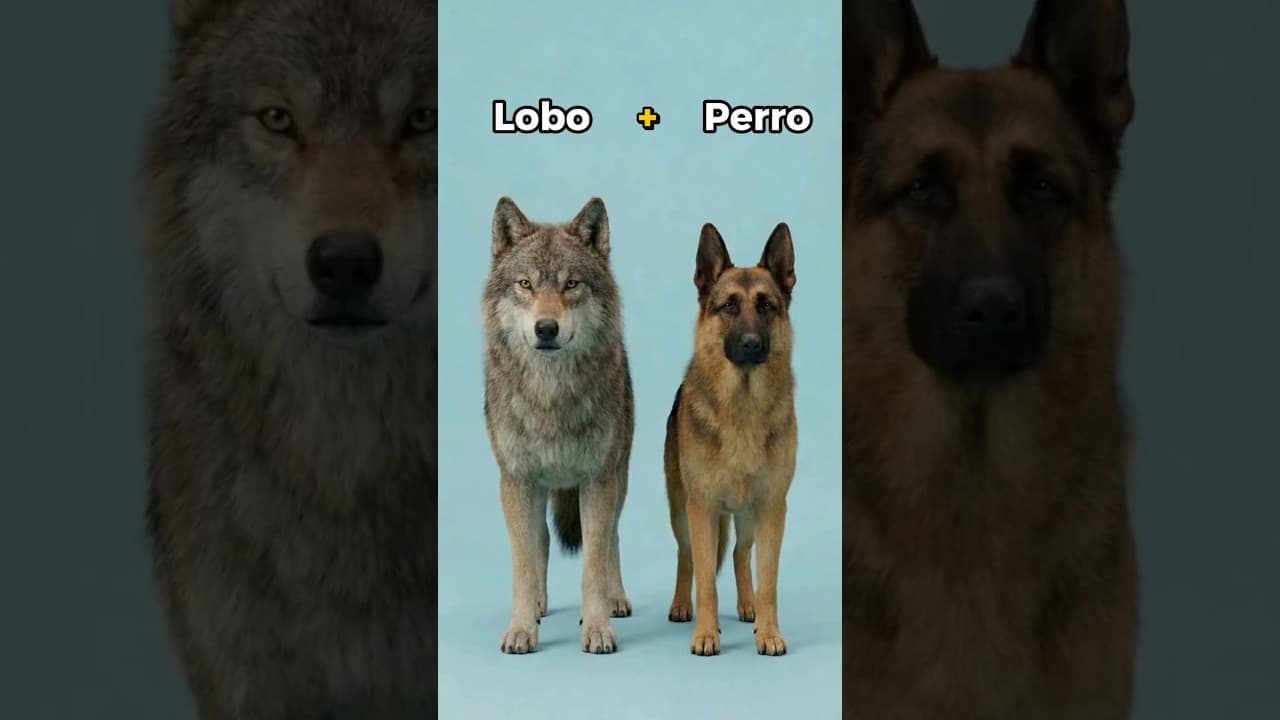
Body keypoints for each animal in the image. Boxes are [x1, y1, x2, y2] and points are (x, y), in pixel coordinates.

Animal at [483, 196, 634, 655]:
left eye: (571, 284)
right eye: (525, 284)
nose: (546, 328)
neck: (551, 399)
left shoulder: (598, 479)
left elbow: (594, 564)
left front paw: (598, 627)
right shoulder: (516, 480)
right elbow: (522, 565)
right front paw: (520, 628)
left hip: (619, 477)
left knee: (612, 539)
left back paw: (616, 599)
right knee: (541, 543)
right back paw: (537, 606)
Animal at [664, 221, 798, 657]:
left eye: (767, 306)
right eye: (729, 307)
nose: (752, 344)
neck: (742, 406)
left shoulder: (772, 508)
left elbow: (768, 580)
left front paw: (768, 631)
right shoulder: (702, 507)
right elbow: (706, 579)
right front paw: (706, 633)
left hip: (749, 516)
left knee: (741, 553)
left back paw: (747, 606)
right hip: (682, 513)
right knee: (686, 556)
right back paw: (681, 606)